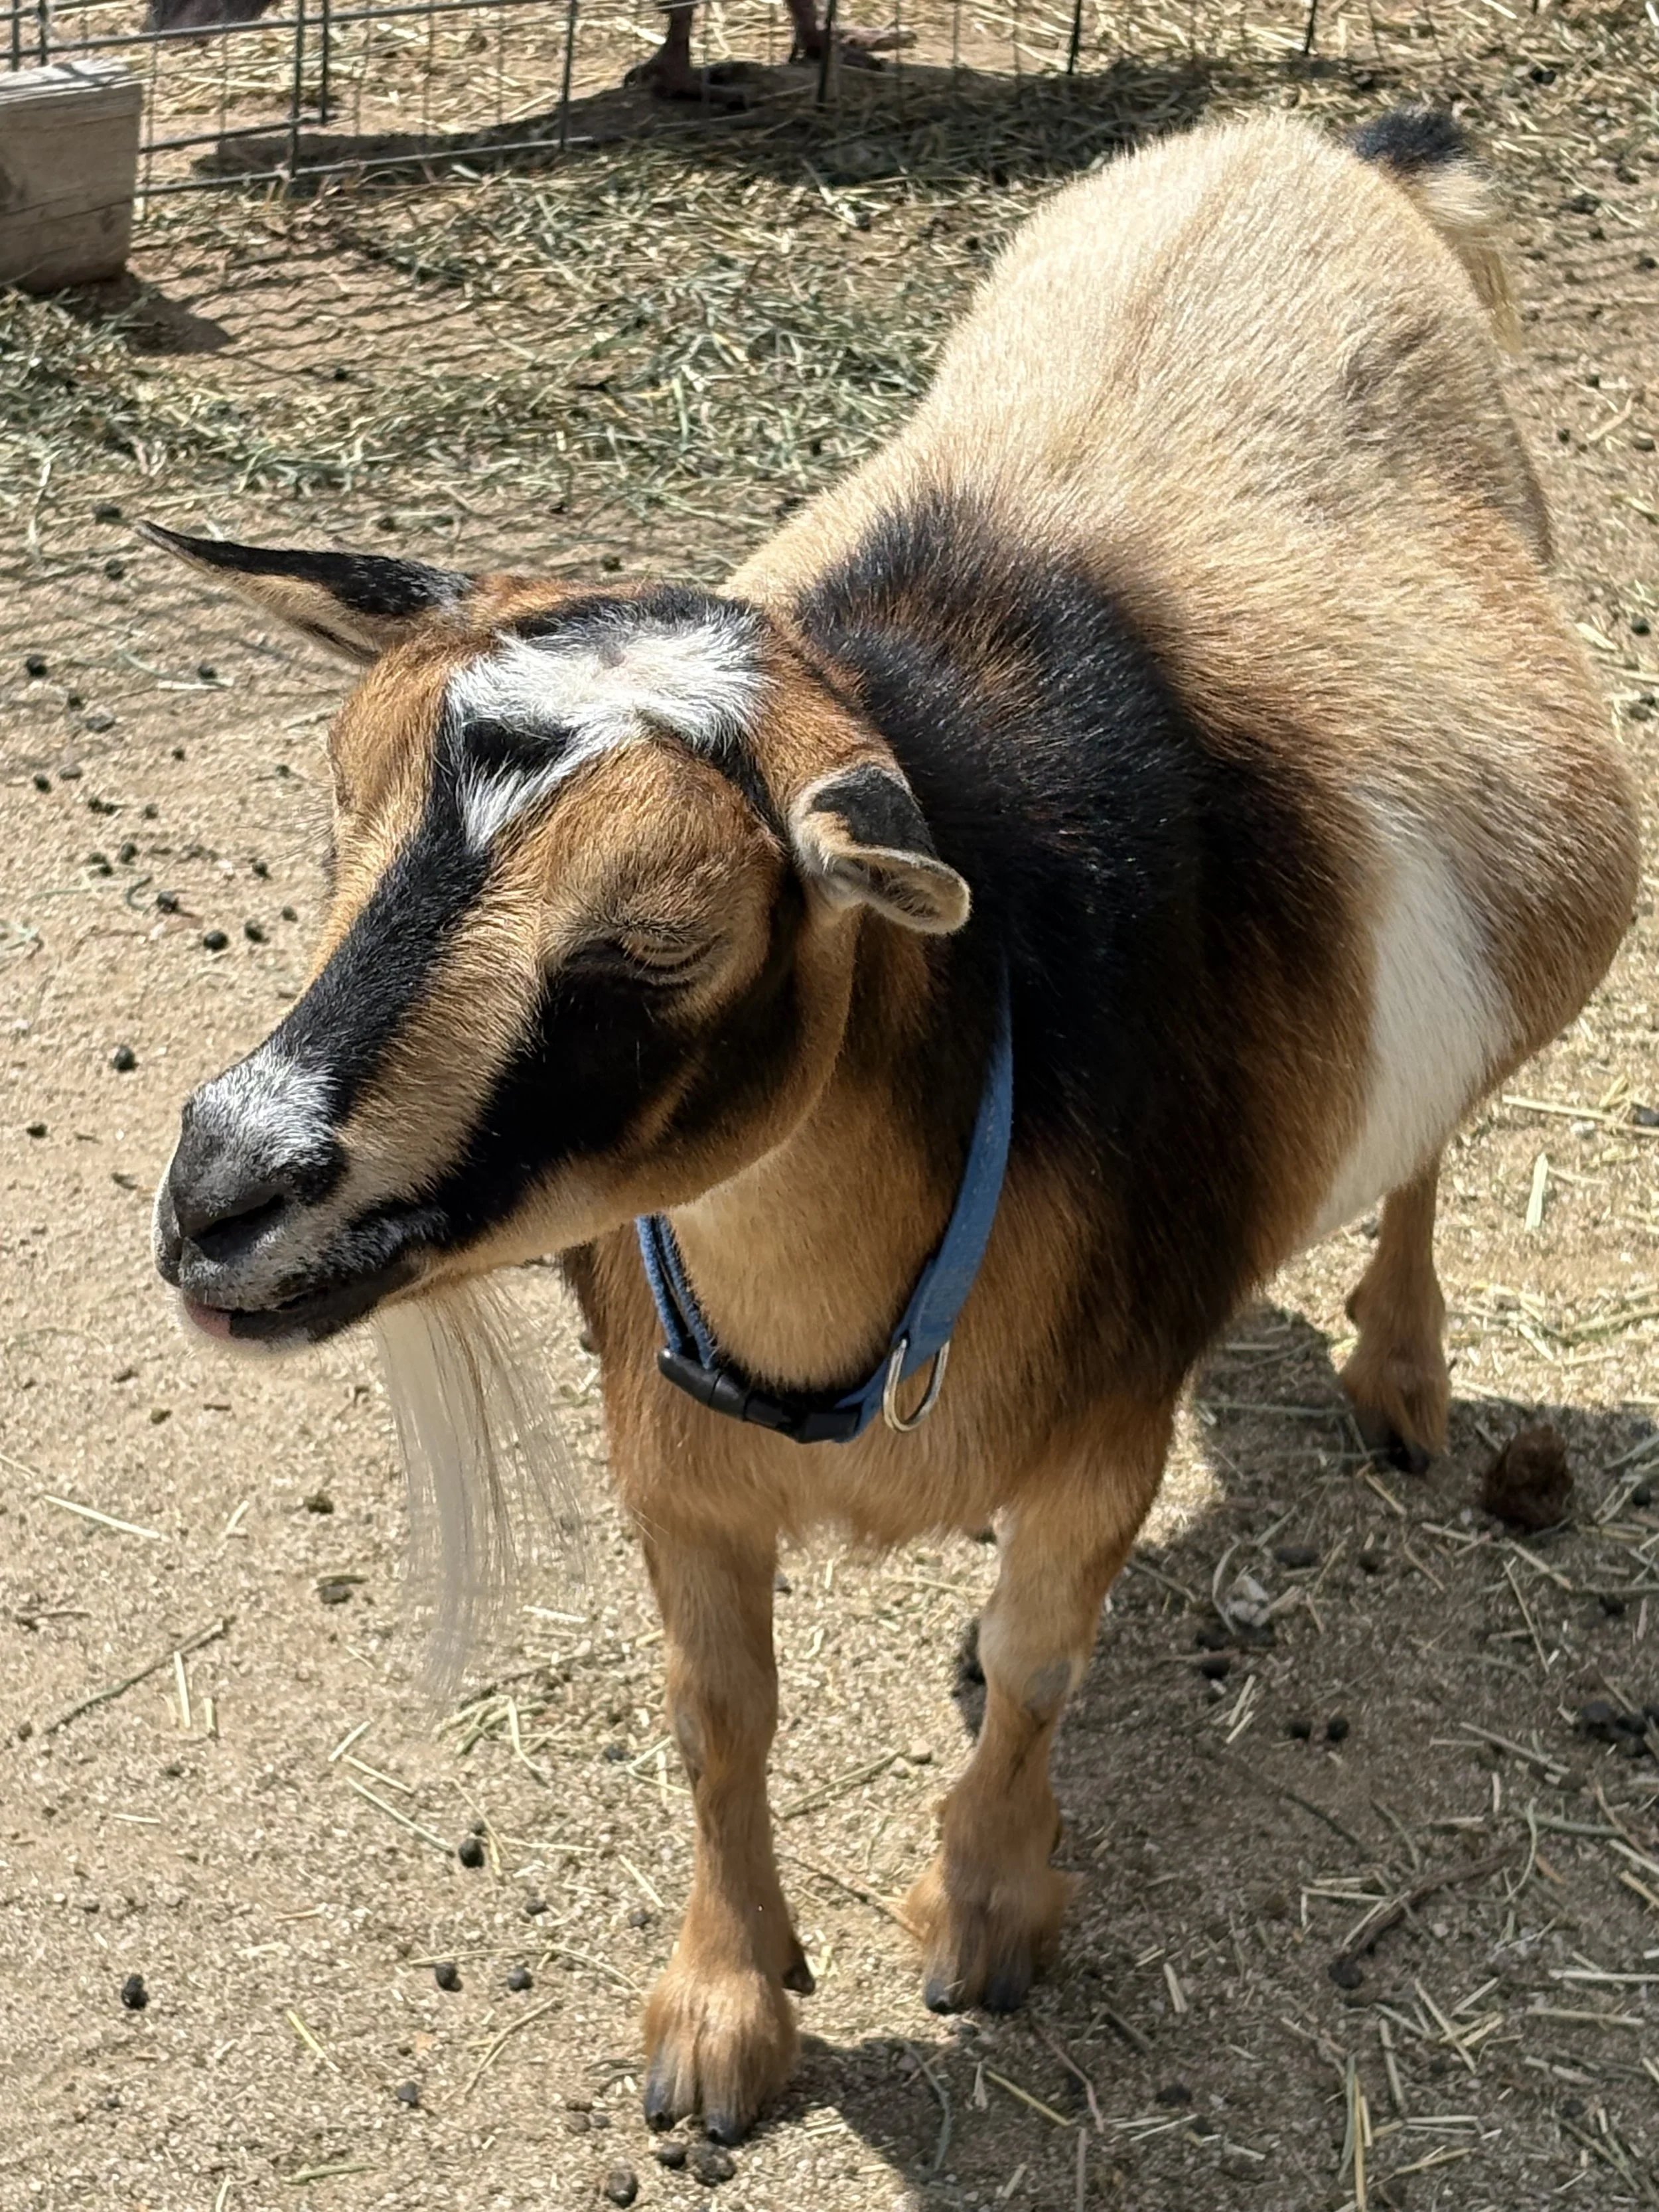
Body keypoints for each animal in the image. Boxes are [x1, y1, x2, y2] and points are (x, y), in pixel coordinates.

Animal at [145, 108, 1638, 2144]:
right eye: (336, 808)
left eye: (658, 938)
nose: (222, 1190)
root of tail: (1307, 139)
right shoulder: (677, 1461)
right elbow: (717, 1715)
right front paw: (722, 2014)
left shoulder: (1102, 1430)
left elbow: (1037, 1659)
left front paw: (987, 1912)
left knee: (1421, 1149)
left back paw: (1401, 1375)